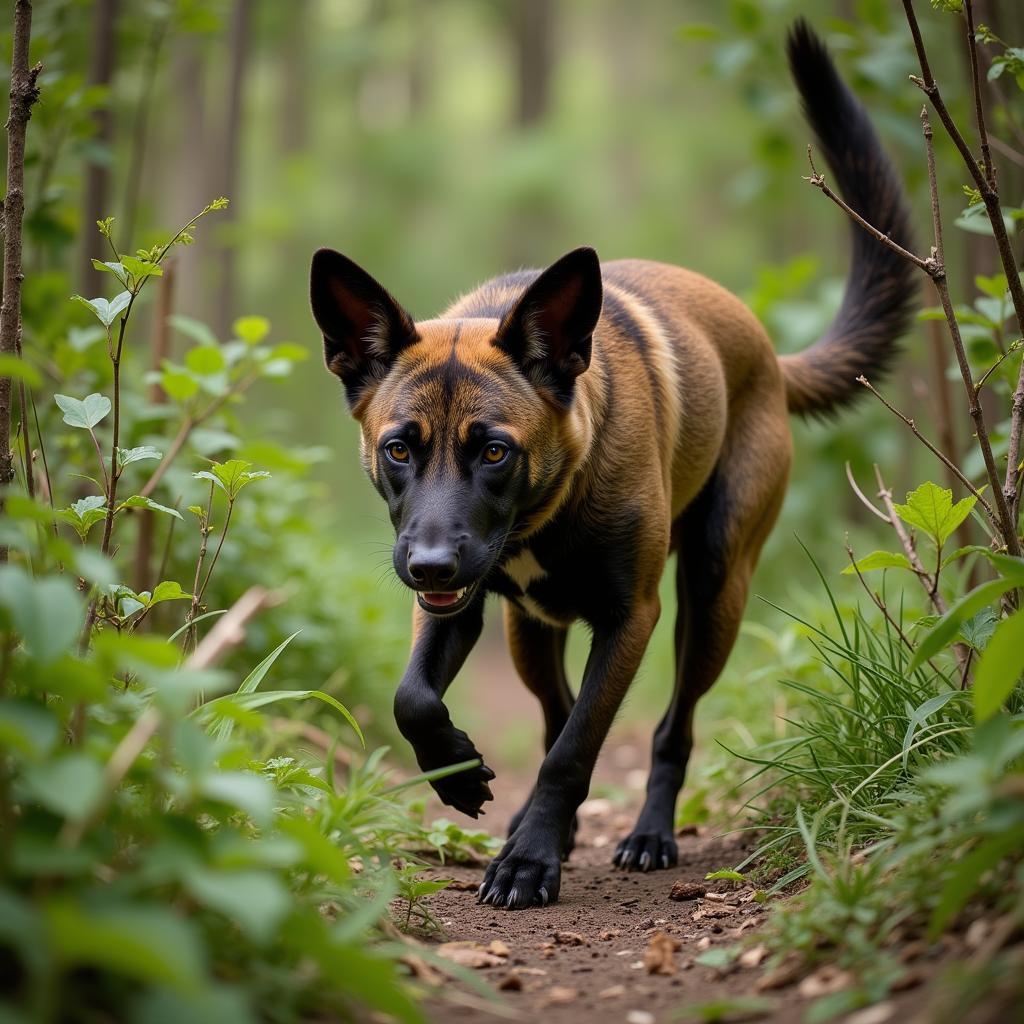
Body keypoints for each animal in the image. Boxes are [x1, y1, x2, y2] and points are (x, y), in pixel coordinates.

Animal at [305, 24, 913, 909]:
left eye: (495, 451)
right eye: (398, 449)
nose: (429, 566)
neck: (550, 506)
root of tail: (766, 349)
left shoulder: (631, 618)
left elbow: (576, 744)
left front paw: (530, 860)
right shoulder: (465, 608)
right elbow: (419, 698)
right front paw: (466, 777)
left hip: (713, 591)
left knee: (670, 726)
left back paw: (647, 834)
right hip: (530, 630)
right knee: (556, 704)